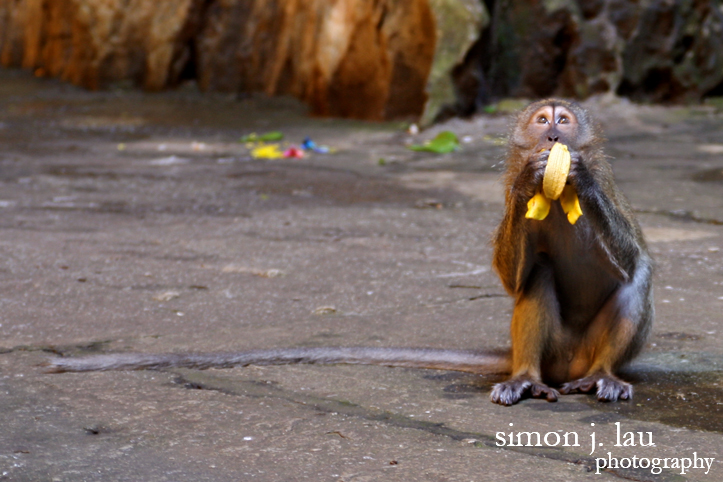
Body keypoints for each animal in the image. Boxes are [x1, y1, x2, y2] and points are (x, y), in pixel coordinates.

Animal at [46, 99, 656, 406]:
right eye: (541, 119)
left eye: (564, 119)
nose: (553, 132)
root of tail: (565, 366)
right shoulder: (508, 189)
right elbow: (517, 275)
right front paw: (535, 179)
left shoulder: (608, 183)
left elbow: (631, 257)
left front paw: (578, 179)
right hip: (552, 354)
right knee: (538, 279)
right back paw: (526, 378)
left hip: (588, 354)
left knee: (634, 284)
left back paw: (604, 376)